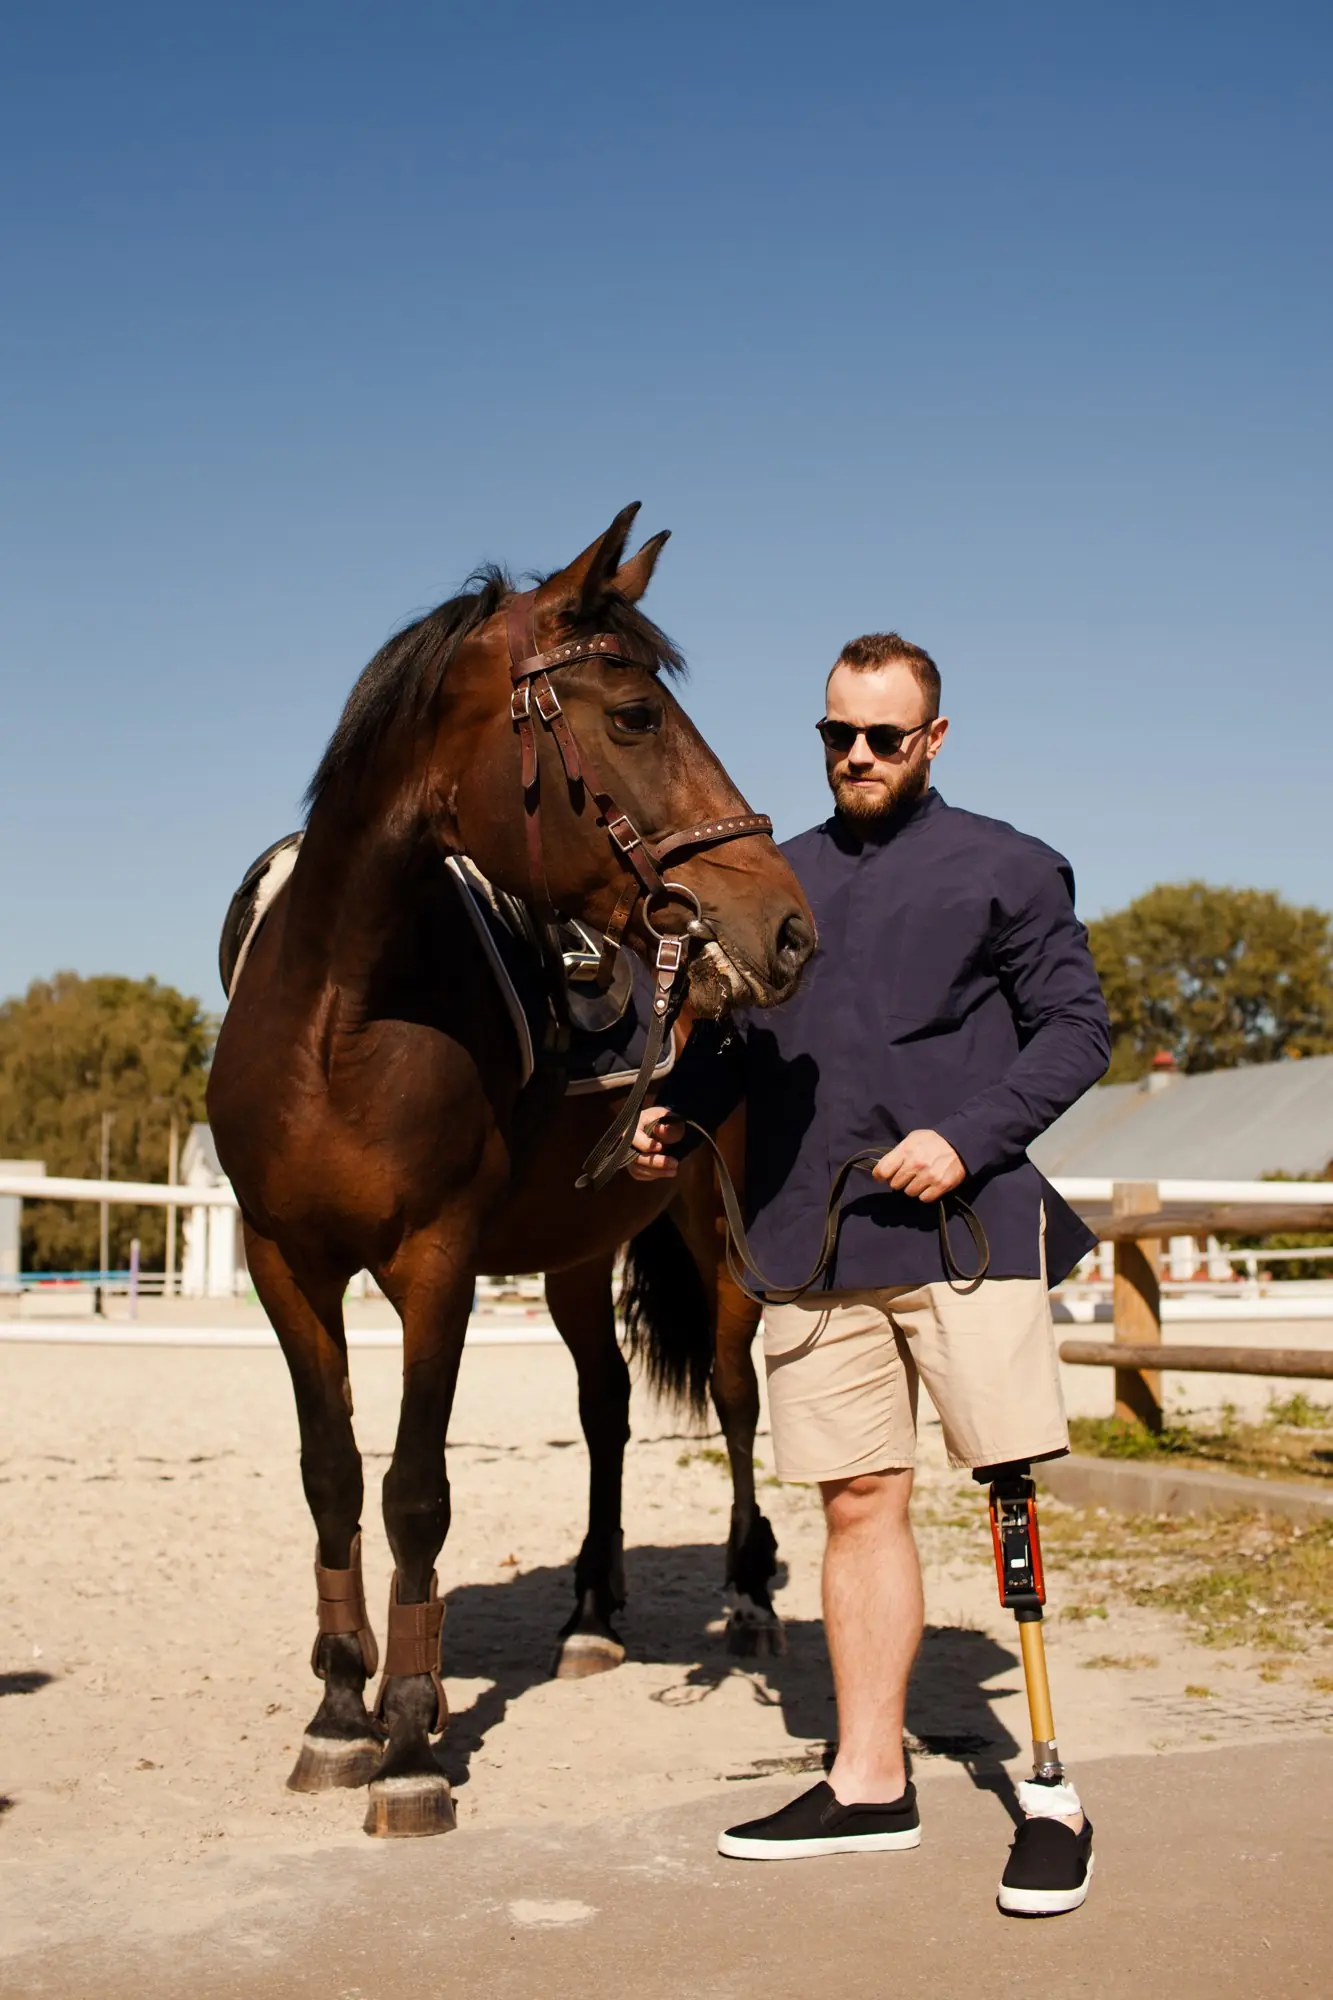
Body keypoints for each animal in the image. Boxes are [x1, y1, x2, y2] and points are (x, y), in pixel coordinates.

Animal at [207, 506, 814, 1837]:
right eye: (633, 716)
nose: (788, 926)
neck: (339, 1013)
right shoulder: (288, 1263)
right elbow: (333, 1476)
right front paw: (340, 1711)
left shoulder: (434, 1261)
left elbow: (415, 1490)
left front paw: (409, 1738)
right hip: (577, 1255)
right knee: (605, 1407)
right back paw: (589, 1615)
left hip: (717, 1237)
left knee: (735, 1401)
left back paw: (749, 1602)